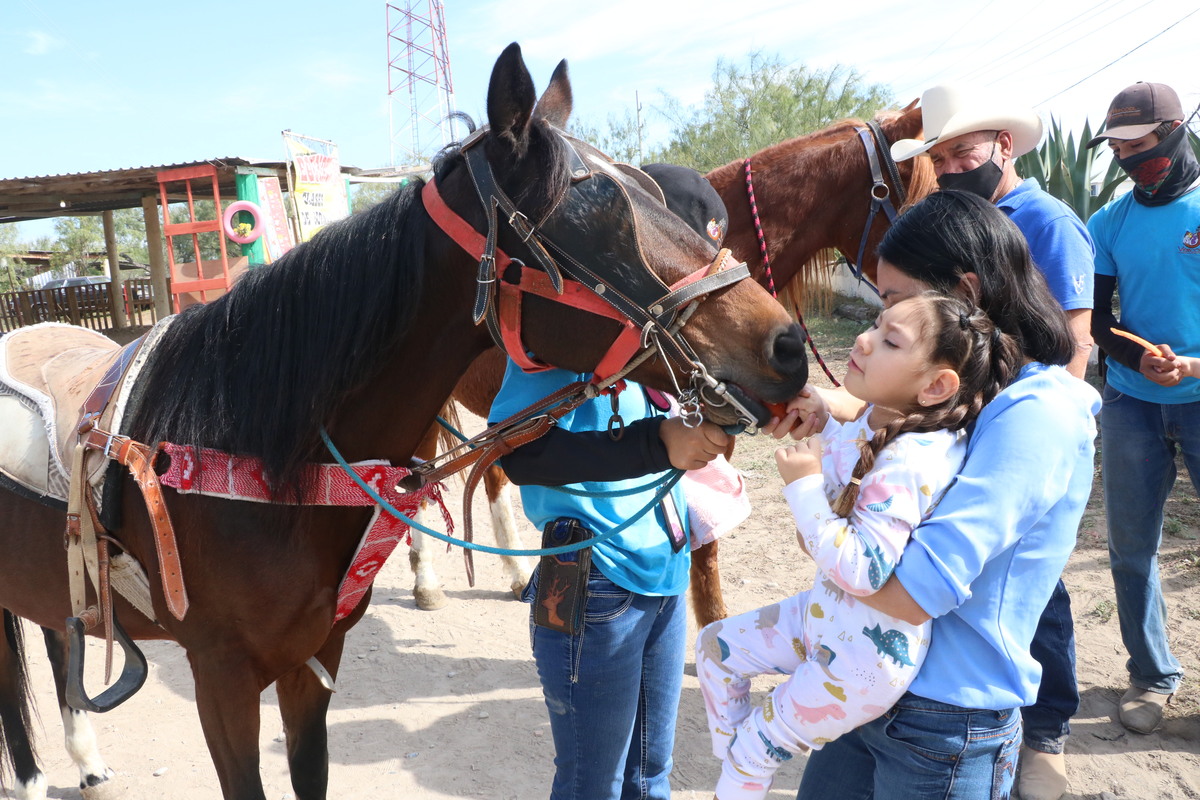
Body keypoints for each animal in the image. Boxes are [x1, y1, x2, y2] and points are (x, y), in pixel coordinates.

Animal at [0, 43, 809, 800]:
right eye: (600, 214)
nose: (788, 346)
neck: (248, 454)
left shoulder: (312, 664)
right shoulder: (220, 679)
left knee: (56, 642)